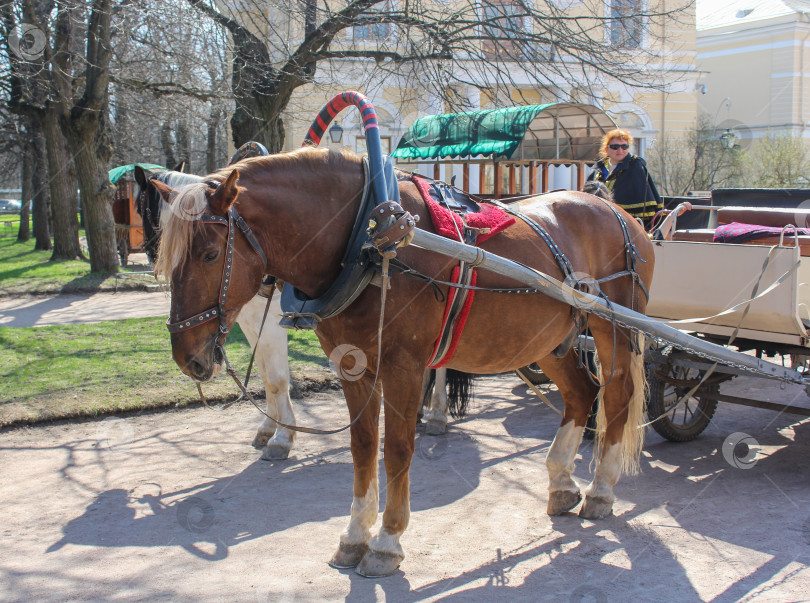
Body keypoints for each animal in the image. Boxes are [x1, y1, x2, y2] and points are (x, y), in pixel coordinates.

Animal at [153, 147, 656, 580]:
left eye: (210, 254)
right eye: (168, 256)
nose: (188, 357)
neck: (368, 239)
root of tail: (617, 212)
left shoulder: (404, 367)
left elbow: (396, 449)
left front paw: (386, 541)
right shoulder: (352, 365)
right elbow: (362, 447)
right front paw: (355, 534)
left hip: (613, 329)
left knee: (617, 395)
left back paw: (602, 488)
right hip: (546, 341)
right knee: (581, 392)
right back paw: (561, 482)